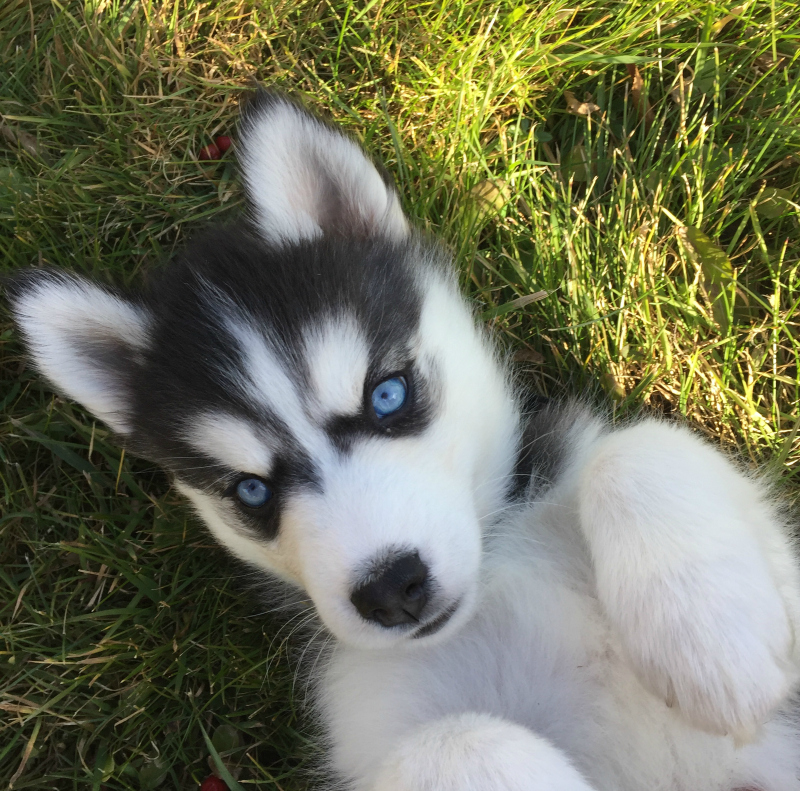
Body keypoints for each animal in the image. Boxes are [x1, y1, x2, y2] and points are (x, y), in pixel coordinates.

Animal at [8, 91, 800, 791]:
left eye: (387, 395)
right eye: (251, 490)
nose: (391, 589)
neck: (491, 578)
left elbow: (637, 448)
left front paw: (709, 648)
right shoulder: (371, 722)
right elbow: (452, 742)